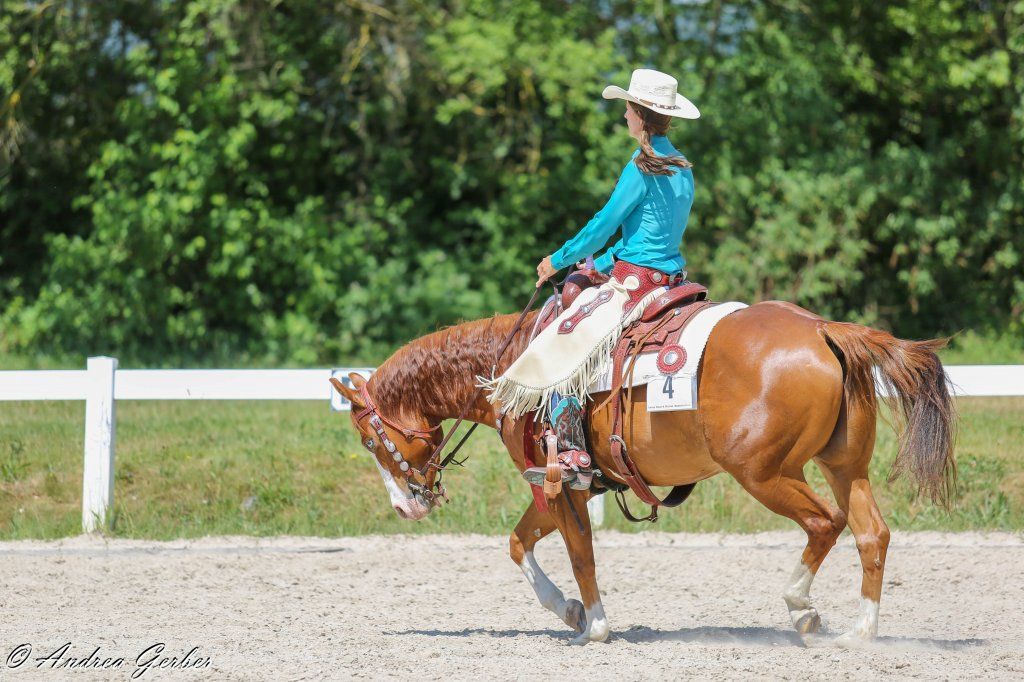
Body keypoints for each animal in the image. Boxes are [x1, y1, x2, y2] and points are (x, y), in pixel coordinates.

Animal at [330, 299, 956, 646]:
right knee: (871, 533)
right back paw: (861, 633)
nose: (403, 507)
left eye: (368, 439)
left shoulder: (560, 486)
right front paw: (569, 610)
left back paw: (802, 610)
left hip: (764, 473)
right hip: (844, 466)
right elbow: (518, 542)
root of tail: (824, 329)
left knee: (825, 524)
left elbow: (579, 552)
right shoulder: (557, 487)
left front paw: (595, 625)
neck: (512, 369)